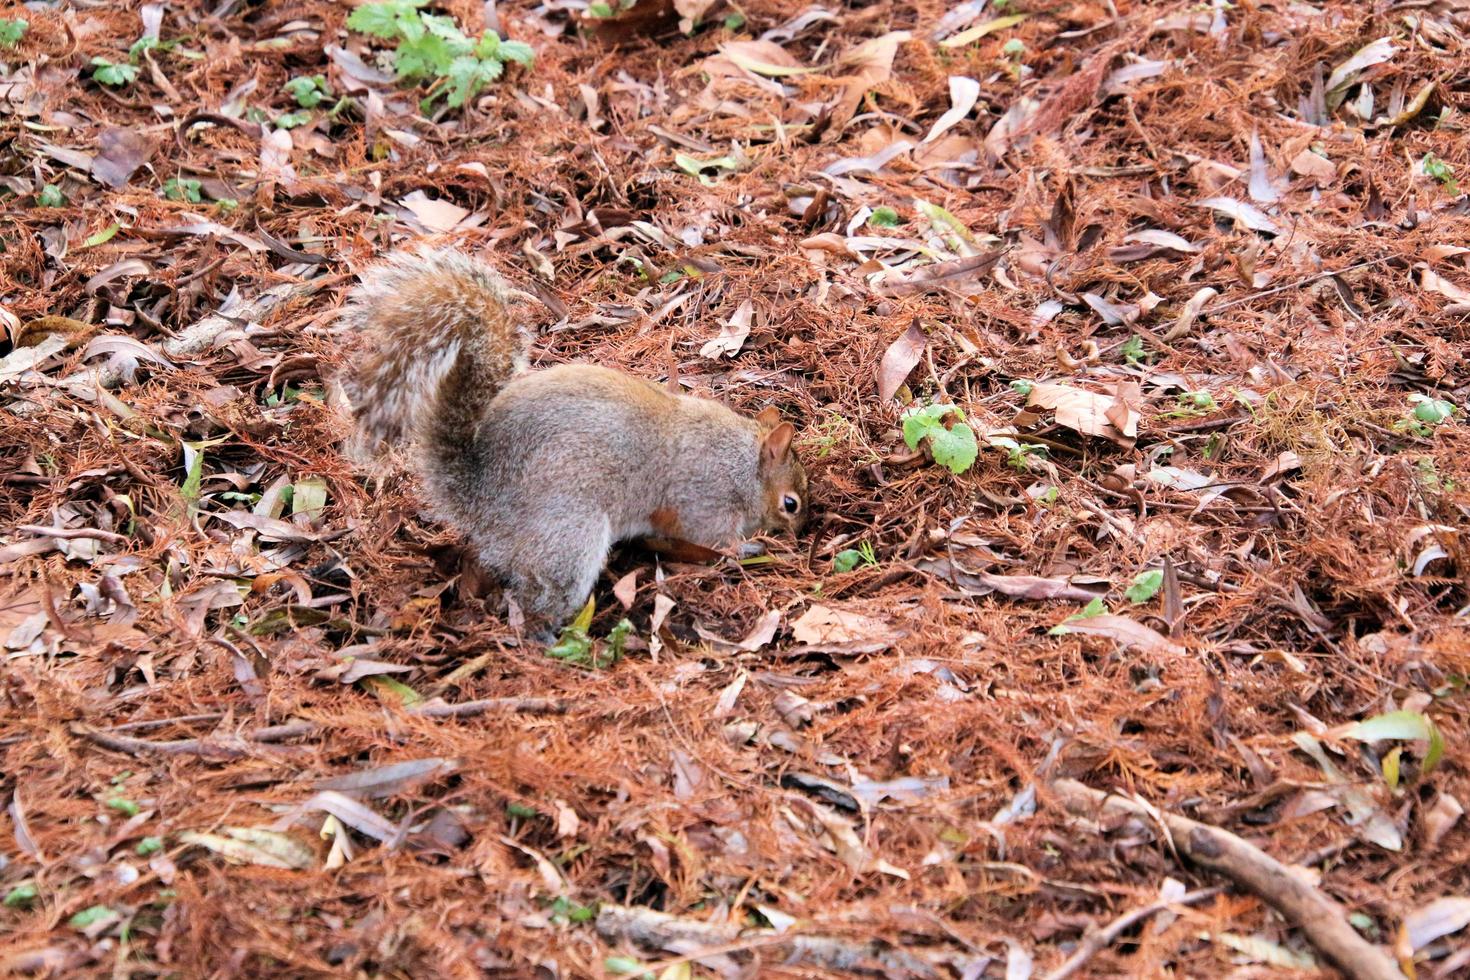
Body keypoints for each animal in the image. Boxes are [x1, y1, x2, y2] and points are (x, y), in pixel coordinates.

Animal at [338, 249, 811, 640]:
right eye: (791, 504)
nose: (800, 536)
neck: (743, 463)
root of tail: (479, 496)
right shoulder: (704, 497)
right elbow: (713, 536)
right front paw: (747, 547)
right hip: (568, 534)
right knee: (540, 596)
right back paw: (551, 634)